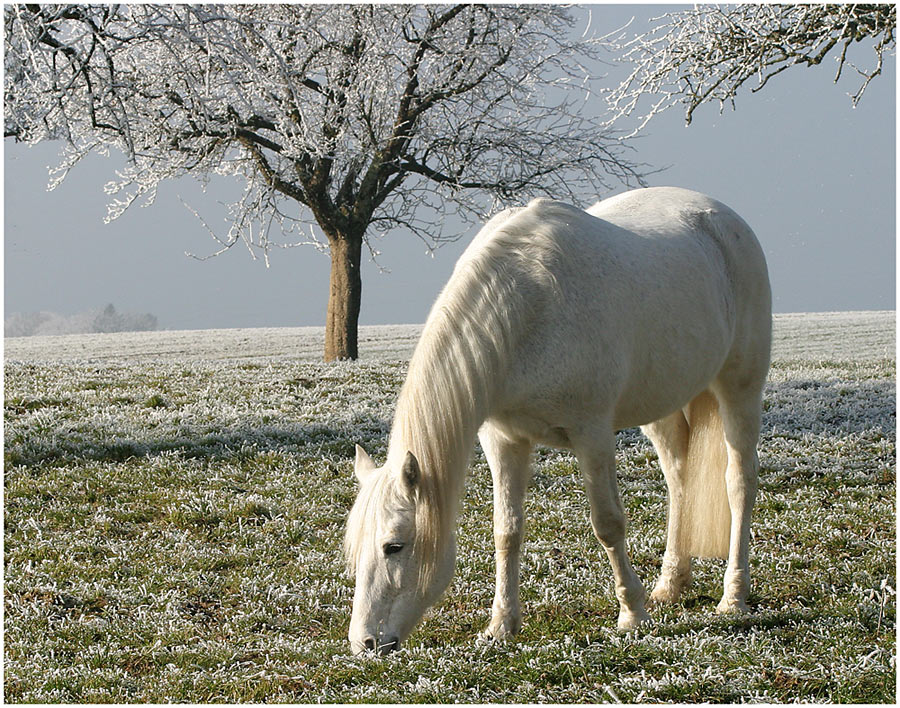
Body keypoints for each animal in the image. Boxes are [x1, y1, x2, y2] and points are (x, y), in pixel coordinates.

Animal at [342, 187, 768, 652]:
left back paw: (733, 597)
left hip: (740, 388)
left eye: (394, 546)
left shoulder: (592, 435)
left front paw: (632, 614)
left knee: (739, 482)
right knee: (680, 480)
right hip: (664, 404)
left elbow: (608, 524)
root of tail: (723, 217)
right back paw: (670, 585)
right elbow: (506, 531)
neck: (526, 307)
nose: (363, 643)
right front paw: (501, 625)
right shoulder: (504, 440)